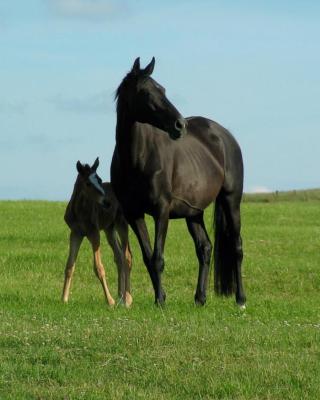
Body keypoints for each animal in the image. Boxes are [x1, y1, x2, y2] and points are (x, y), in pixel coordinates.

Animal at [62, 158, 132, 308]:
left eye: (99, 180)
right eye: (88, 183)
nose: (107, 202)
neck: (79, 211)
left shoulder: (94, 234)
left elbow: (99, 267)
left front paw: (109, 301)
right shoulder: (75, 233)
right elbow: (70, 265)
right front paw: (63, 298)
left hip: (122, 223)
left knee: (127, 256)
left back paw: (127, 299)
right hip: (109, 229)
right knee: (119, 256)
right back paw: (120, 296)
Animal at [111, 57, 246, 306]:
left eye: (162, 90)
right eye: (146, 92)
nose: (179, 125)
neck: (137, 158)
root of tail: (225, 136)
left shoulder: (161, 210)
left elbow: (157, 258)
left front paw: (160, 302)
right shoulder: (134, 213)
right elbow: (148, 257)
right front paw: (160, 297)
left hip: (231, 201)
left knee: (236, 246)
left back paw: (241, 299)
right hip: (194, 212)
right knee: (205, 248)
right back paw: (200, 299)